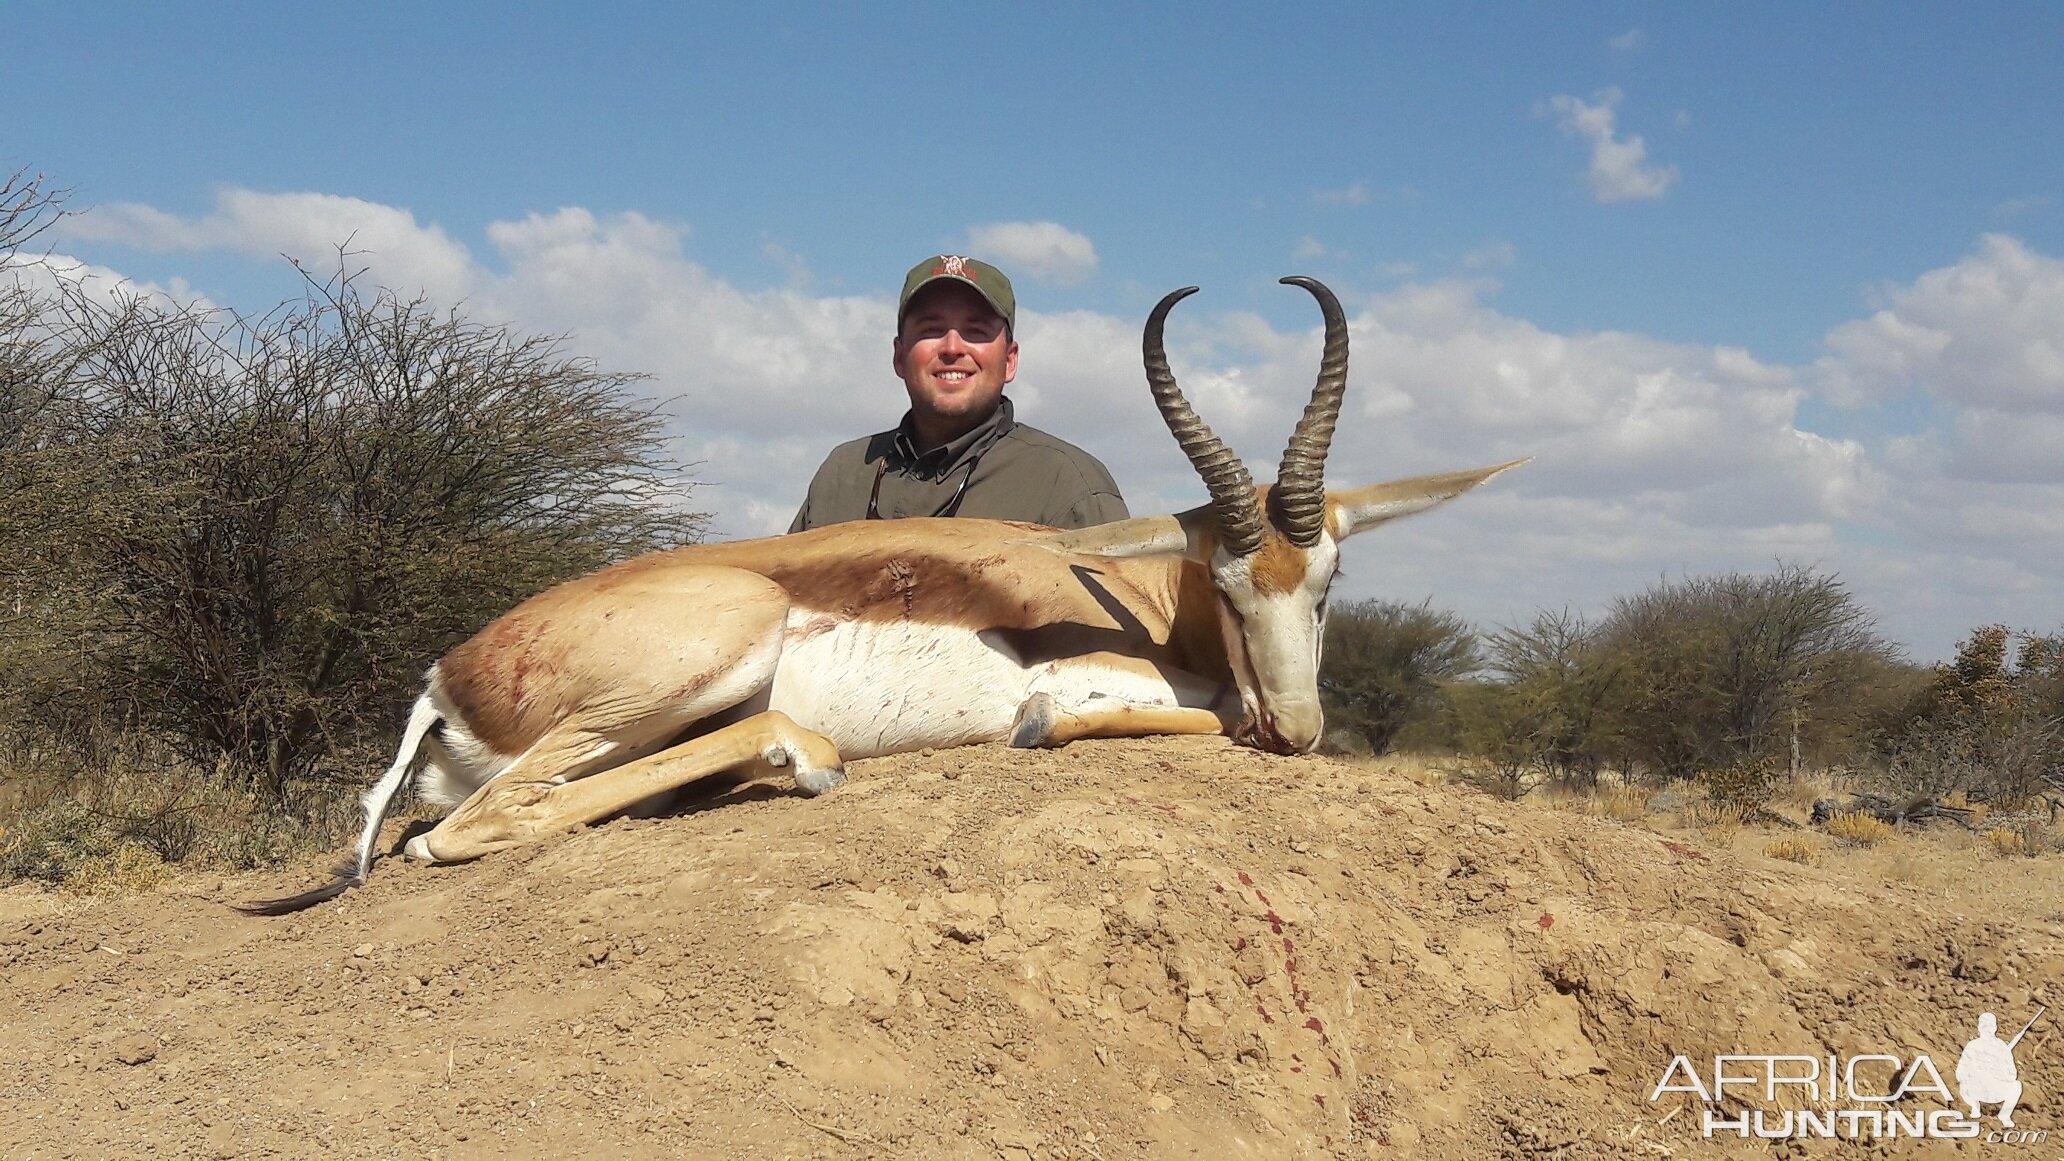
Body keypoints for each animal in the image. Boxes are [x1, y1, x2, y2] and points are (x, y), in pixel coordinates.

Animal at [249, 274, 1527, 908]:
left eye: (1329, 581)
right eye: (1226, 575)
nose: (1298, 729)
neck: (1146, 600)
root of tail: (445, 676)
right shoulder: (1116, 684)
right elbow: (1113, 717)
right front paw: (1045, 726)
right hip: (718, 648)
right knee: (461, 830)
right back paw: (801, 757)